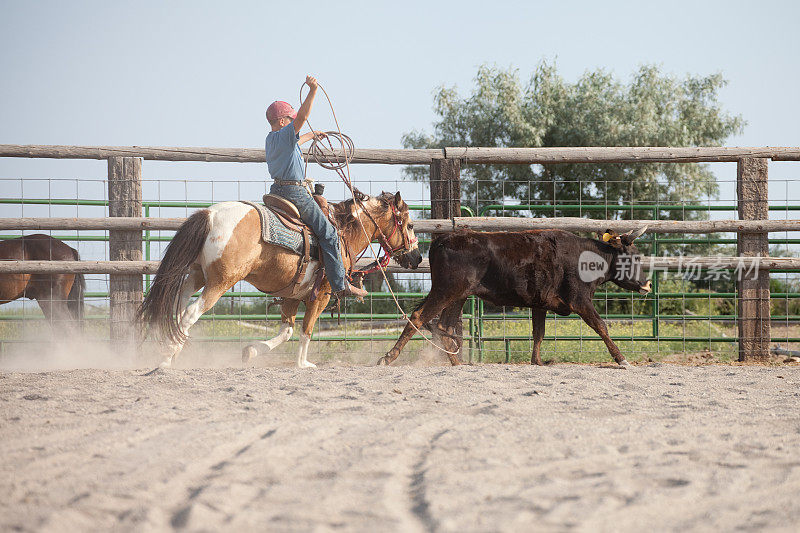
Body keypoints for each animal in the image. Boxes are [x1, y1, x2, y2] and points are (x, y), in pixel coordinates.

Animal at [140, 189, 422, 368]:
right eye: (409, 225)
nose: (417, 257)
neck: (342, 231)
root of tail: (211, 215)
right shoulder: (322, 294)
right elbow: (307, 330)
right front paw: (303, 364)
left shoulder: (292, 294)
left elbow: (286, 331)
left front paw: (251, 351)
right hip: (219, 282)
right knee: (190, 313)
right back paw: (167, 357)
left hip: (196, 275)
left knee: (177, 309)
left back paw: (170, 349)